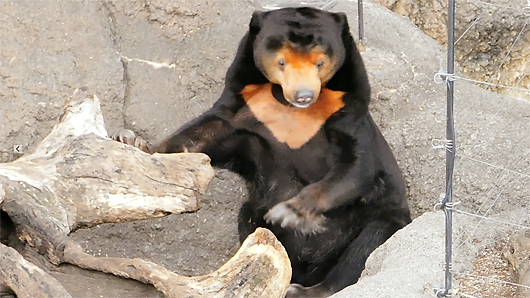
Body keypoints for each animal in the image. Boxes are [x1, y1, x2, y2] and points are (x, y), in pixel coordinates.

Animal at [112, 7, 408, 298]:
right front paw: (131, 140)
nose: (303, 95)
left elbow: (358, 165)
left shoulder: (348, 111)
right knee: (250, 219)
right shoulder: (246, 108)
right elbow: (203, 136)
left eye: (320, 62)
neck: (290, 109)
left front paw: (292, 212)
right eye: (282, 62)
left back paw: (307, 289)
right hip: (257, 212)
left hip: (379, 218)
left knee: (367, 247)